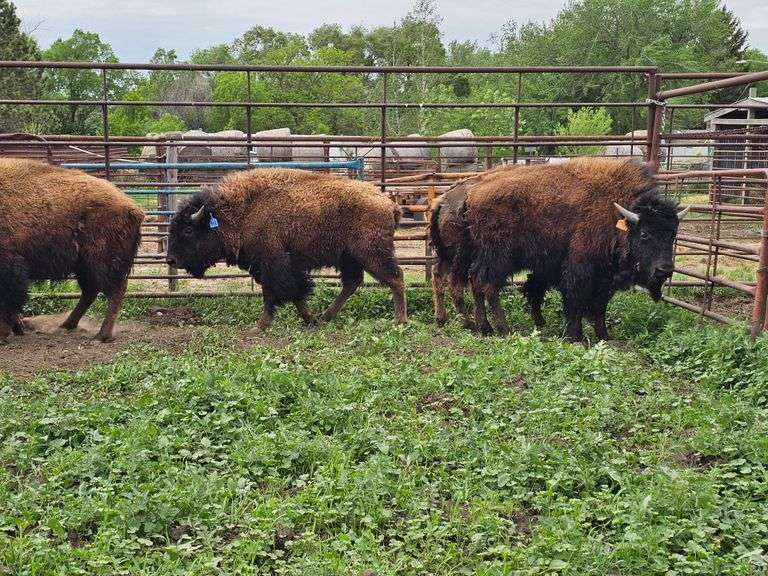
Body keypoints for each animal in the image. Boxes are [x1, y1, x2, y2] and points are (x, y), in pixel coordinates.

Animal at [0, 158, 144, 343]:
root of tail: (133, 208)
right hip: (83, 266)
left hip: (100, 262)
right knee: (91, 291)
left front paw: (4, 333)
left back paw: (101, 335)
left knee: (114, 291)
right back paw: (67, 325)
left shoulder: (10, 265)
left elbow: (7, 302)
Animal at [166, 168, 407, 329]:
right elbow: (290, 292)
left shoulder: (272, 261)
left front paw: (262, 325)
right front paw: (309, 319)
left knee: (395, 278)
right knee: (352, 283)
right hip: (349, 257)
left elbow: (277, 291)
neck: (244, 210)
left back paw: (399, 321)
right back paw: (325, 317)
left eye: (188, 230)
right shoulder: (270, 266)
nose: (170, 260)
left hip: (371, 253)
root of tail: (389, 203)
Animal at [460, 158, 688, 341]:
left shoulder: (605, 278)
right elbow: (576, 301)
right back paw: (503, 329)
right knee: (488, 287)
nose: (665, 270)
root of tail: (472, 194)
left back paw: (485, 328)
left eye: (673, 234)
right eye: (644, 234)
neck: (615, 214)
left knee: (476, 282)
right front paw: (575, 336)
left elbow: (600, 307)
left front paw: (604, 336)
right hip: (499, 259)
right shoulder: (580, 269)